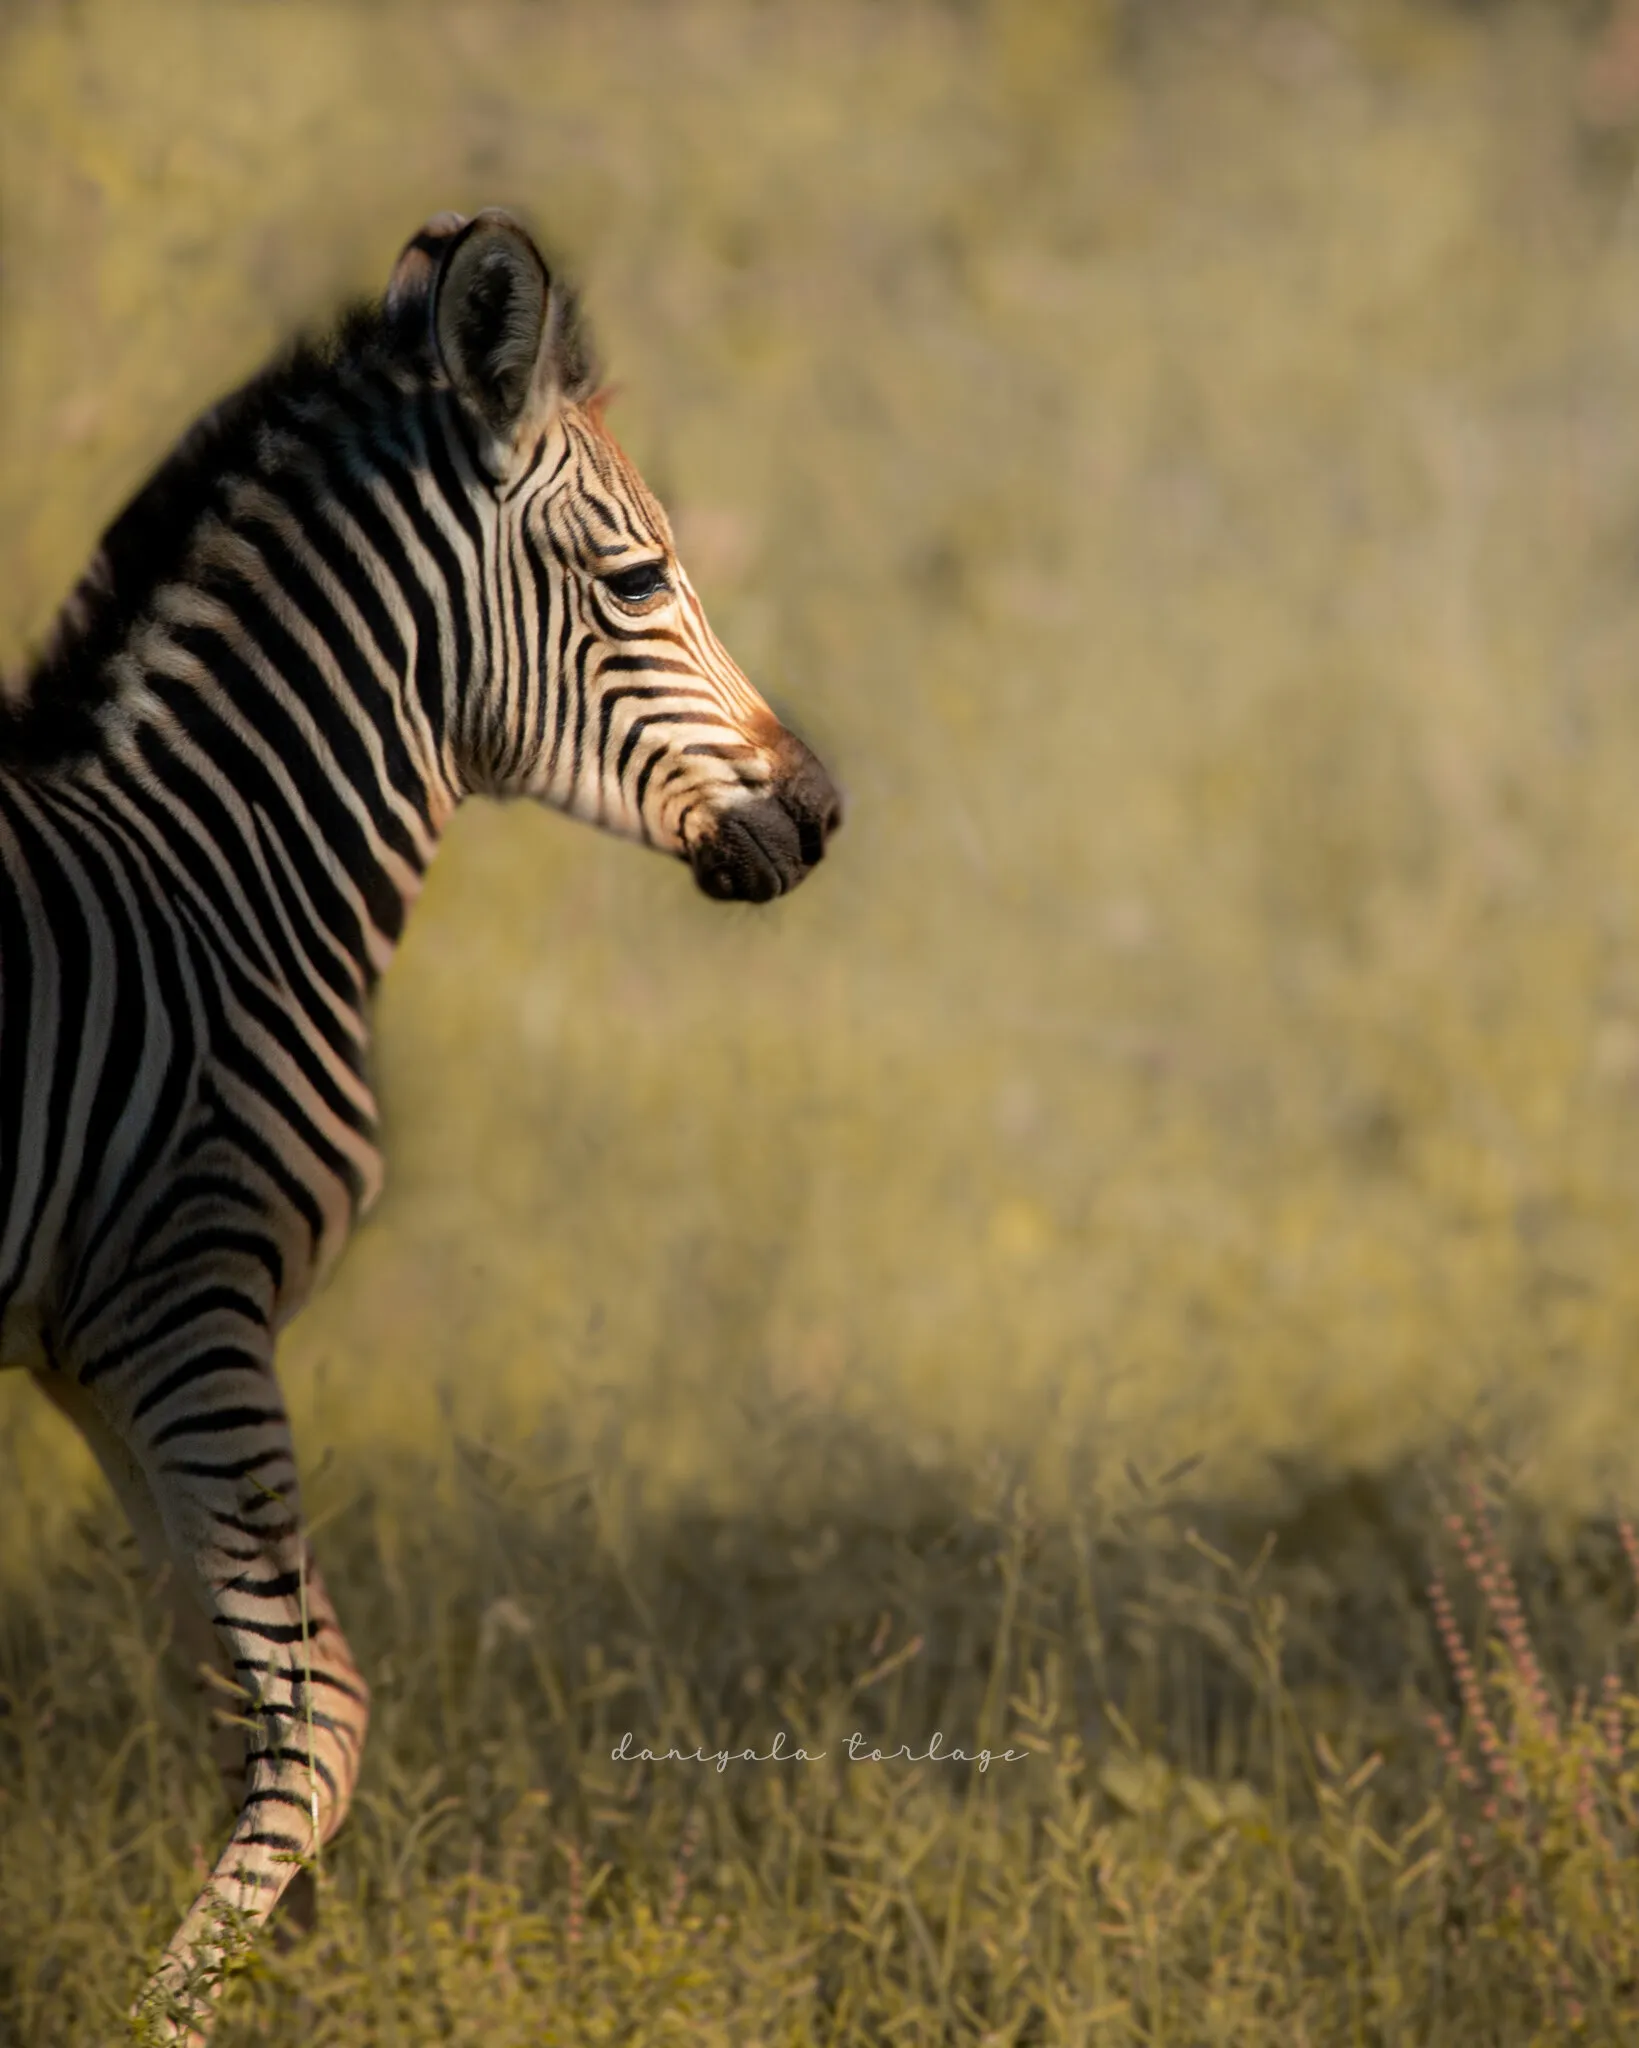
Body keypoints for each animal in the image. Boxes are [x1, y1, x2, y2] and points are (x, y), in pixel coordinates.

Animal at [0, 208, 840, 2038]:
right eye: (635, 580)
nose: (821, 811)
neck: (213, 883)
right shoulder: (189, 1299)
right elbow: (316, 1720)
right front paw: (171, 2009)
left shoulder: (98, 1347)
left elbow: (232, 1699)